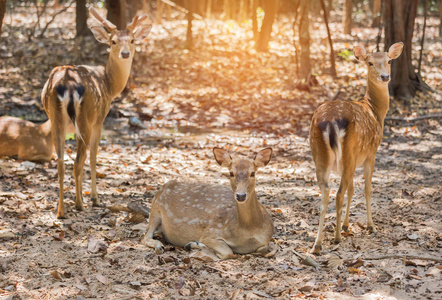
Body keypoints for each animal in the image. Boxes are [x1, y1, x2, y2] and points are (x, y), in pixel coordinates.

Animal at [41, 7, 152, 218]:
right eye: (113, 41)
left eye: (132, 40)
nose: (125, 53)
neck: (109, 84)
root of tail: (67, 83)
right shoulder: (99, 119)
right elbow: (92, 157)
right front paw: (93, 198)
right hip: (85, 116)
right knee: (78, 161)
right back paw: (78, 205)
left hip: (55, 118)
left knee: (60, 162)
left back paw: (61, 210)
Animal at [142, 148, 272, 260]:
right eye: (231, 173)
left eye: (252, 173)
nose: (241, 195)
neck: (248, 230)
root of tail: (163, 186)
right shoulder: (211, 233)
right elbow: (228, 252)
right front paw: (196, 245)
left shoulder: (267, 238)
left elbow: (264, 249)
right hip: (155, 209)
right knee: (145, 236)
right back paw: (162, 246)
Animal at [310, 42, 402, 253]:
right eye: (370, 63)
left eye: (389, 61)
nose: (385, 77)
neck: (376, 112)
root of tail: (330, 122)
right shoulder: (371, 152)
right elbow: (367, 188)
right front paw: (370, 226)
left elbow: (352, 189)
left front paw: (346, 225)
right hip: (349, 151)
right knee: (338, 193)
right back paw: (336, 238)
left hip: (321, 155)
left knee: (325, 193)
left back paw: (317, 244)